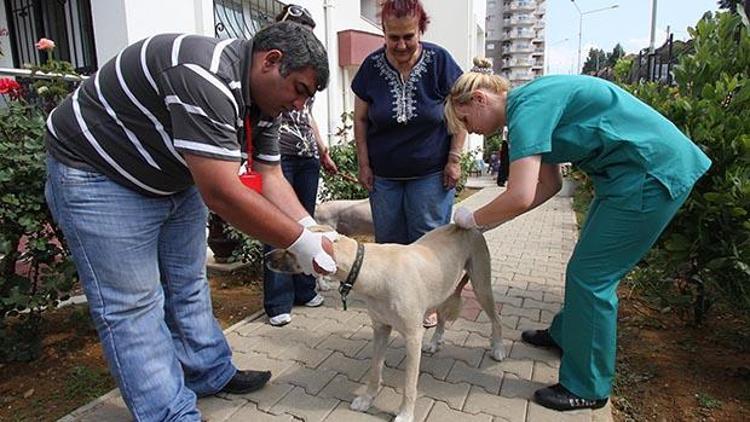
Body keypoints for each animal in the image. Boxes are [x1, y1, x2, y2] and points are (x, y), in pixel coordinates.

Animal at [268, 224, 508, 422]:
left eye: (290, 249)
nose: (266, 258)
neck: (368, 268)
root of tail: (468, 227)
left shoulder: (412, 336)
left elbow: (409, 386)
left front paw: (405, 414)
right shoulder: (380, 329)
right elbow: (375, 371)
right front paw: (367, 400)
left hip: (481, 284)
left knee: (496, 318)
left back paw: (498, 348)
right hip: (442, 289)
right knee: (441, 317)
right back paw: (435, 342)